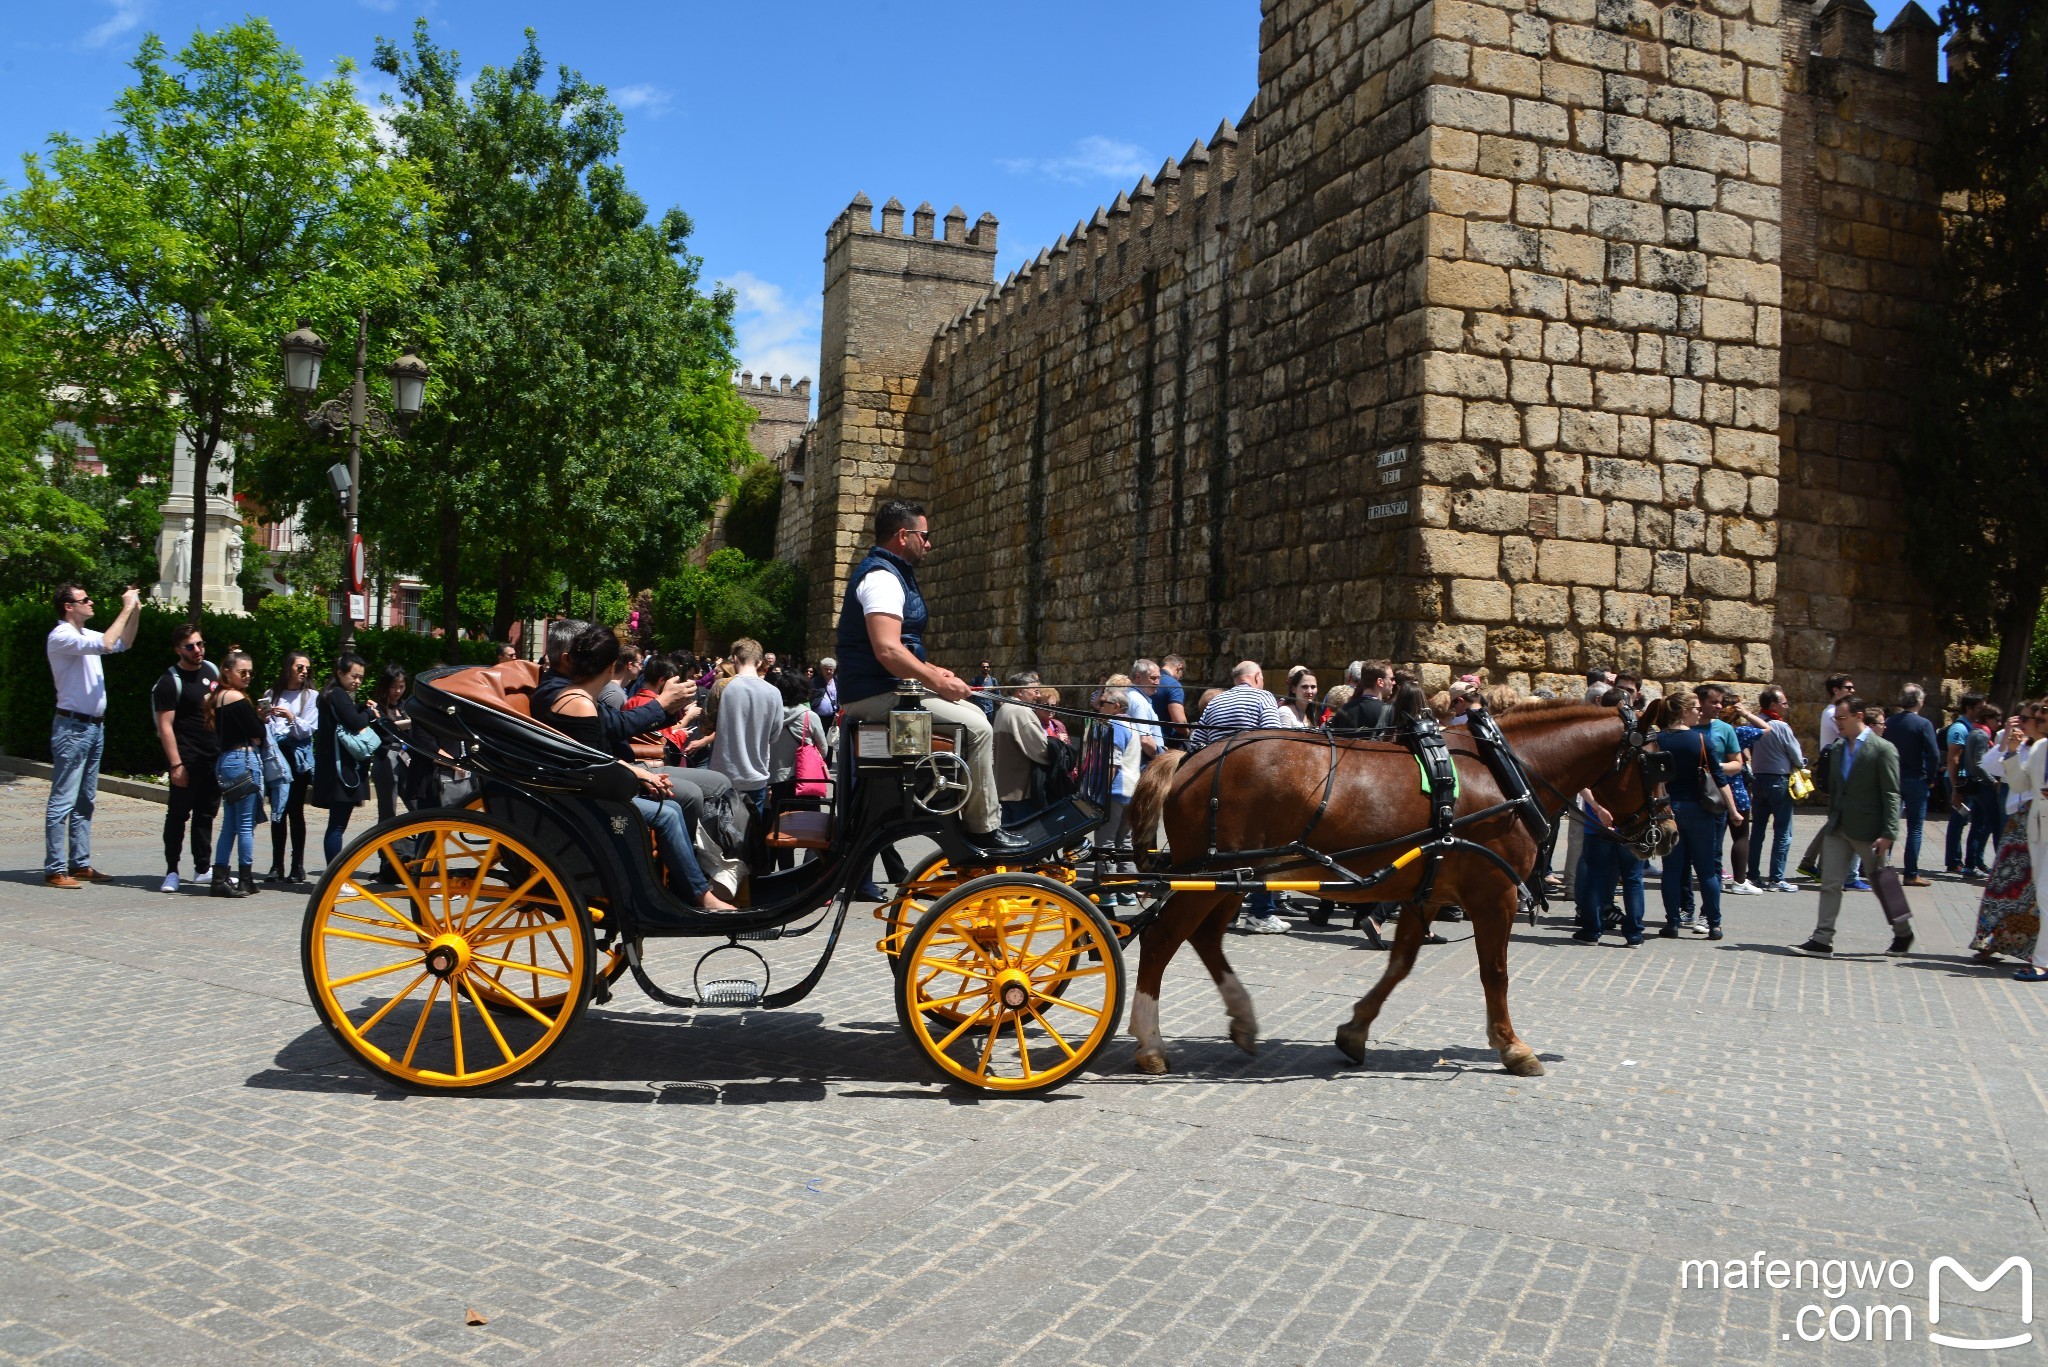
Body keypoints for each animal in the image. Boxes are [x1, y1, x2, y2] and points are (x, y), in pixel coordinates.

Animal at [1122, 705, 1679, 1082]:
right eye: (1660, 764)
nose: (1668, 834)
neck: (1507, 774)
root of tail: (1193, 756)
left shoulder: (1426, 889)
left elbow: (1400, 964)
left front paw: (1354, 1031)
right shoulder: (1494, 895)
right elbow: (1495, 973)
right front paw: (1512, 1046)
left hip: (1235, 878)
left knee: (1205, 938)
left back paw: (1240, 1018)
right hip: (1209, 878)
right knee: (1161, 939)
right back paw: (1149, 1044)